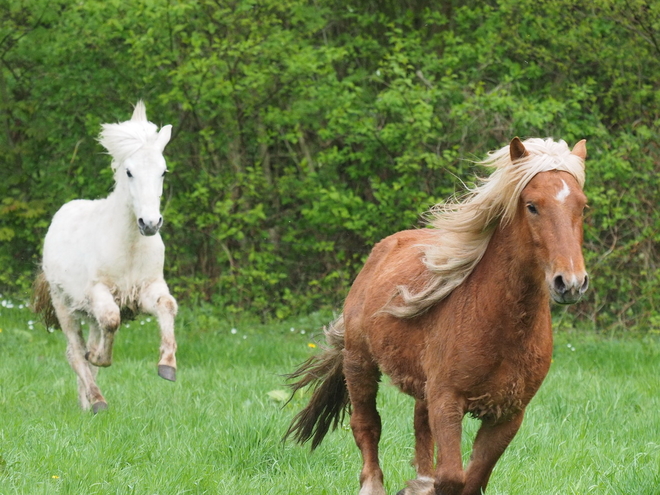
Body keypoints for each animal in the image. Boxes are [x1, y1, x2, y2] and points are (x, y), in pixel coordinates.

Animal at [32, 101, 178, 414]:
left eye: (163, 171)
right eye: (129, 172)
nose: (150, 223)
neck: (130, 246)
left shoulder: (148, 288)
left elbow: (167, 306)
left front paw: (167, 366)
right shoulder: (99, 292)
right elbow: (111, 321)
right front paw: (100, 357)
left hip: (88, 315)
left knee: (88, 346)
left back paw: (86, 403)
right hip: (65, 306)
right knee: (75, 352)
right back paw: (97, 401)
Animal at [284, 138, 588, 495]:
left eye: (583, 207)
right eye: (532, 206)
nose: (570, 282)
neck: (499, 325)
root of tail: (382, 249)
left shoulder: (507, 415)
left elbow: (472, 479)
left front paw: (421, 485)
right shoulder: (447, 401)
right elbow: (452, 477)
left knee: (419, 427)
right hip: (359, 363)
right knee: (367, 426)